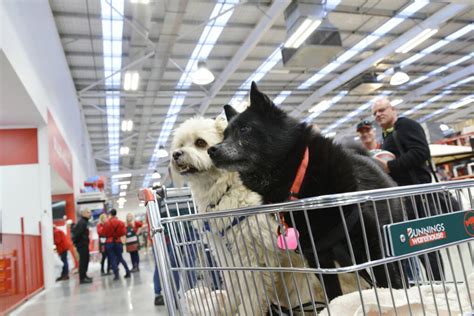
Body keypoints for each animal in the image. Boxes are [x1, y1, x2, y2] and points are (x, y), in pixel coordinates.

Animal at [169, 116, 322, 316]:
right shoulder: (227, 255)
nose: (176, 154)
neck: (225, 189)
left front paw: (244, 311)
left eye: (200, 143)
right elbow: (233, 286)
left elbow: (252, 294)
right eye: (180, 144)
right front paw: (228, 307)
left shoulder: (253, 256)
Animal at [209, 82, 406, 302]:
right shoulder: (318, 256)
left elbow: (387, 280)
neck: (298, 178)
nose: (212, 150)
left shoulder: (370, 240)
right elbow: (333, 294)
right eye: (224, 135)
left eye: (244, 129)